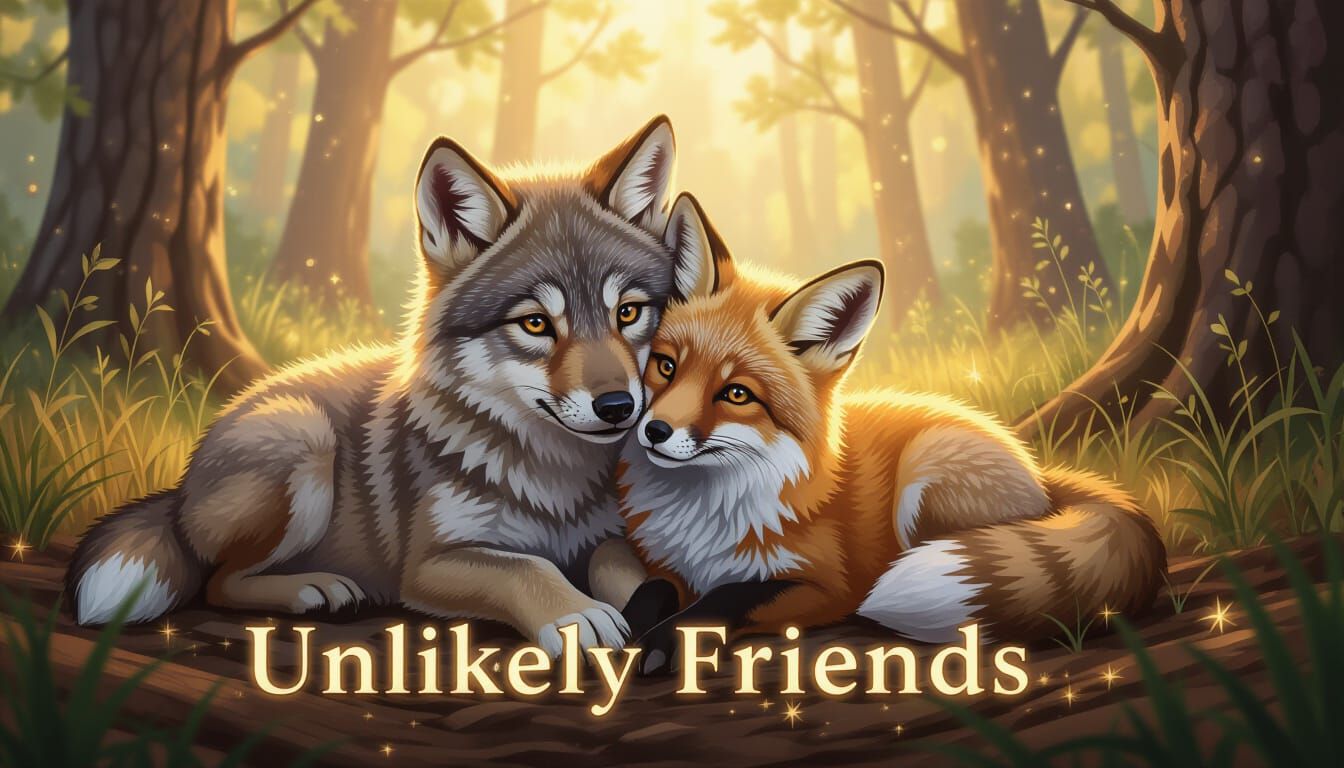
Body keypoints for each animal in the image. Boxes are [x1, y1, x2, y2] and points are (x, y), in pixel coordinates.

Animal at [66, 116, 685, 656]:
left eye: (628, 313)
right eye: (535, 324)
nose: (618, 406)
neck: (556, 480)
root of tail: (181, 487)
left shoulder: (609, 536)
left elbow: (618, 563)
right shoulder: (428, 563)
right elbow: (525, 567)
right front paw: (574, 615)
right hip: (306, 441)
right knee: (219, 582)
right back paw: (312, 588)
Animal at [614, 195, 1167, 673]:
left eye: (735, 393)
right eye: (666, 366)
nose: (655, 431)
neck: (706, 512)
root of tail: (1040, 472)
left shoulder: (823, 585)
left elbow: (728, 596)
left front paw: (666, 640)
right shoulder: (670, 569)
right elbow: (650, 592)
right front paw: (624, 629)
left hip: (924, 477)